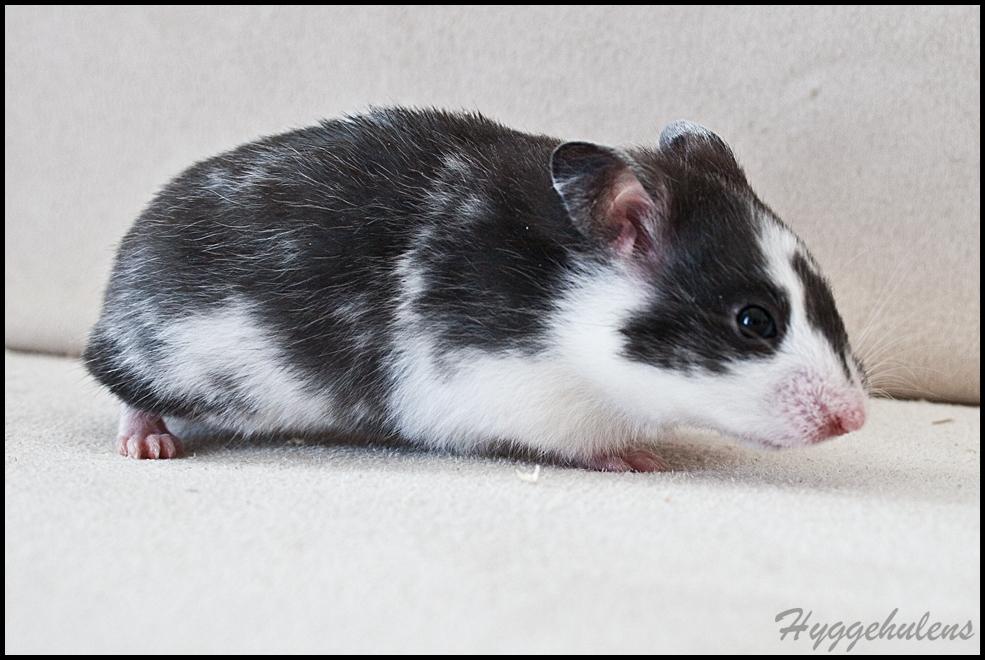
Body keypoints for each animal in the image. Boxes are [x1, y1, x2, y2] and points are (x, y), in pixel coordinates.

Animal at [83, 107, 868, 470]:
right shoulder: (507, 394)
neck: (563, 314)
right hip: (165, 364)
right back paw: (148, 447)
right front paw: (635, 460)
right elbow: (581, 444)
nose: (855, 420)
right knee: (127, 393)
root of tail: (110, 300)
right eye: (754, 321)